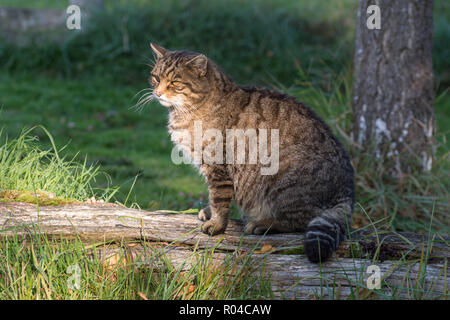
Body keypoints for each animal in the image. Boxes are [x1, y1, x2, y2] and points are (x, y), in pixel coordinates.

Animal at [148, 43, 356, 262]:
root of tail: (347, 191)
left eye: (174, 82)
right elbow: (213, 197)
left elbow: (219, 199)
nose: (158, 92)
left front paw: (216, 224)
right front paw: (208, 211)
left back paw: (263, 223)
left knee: (301, 220)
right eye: (156, 78)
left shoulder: (217, 167)